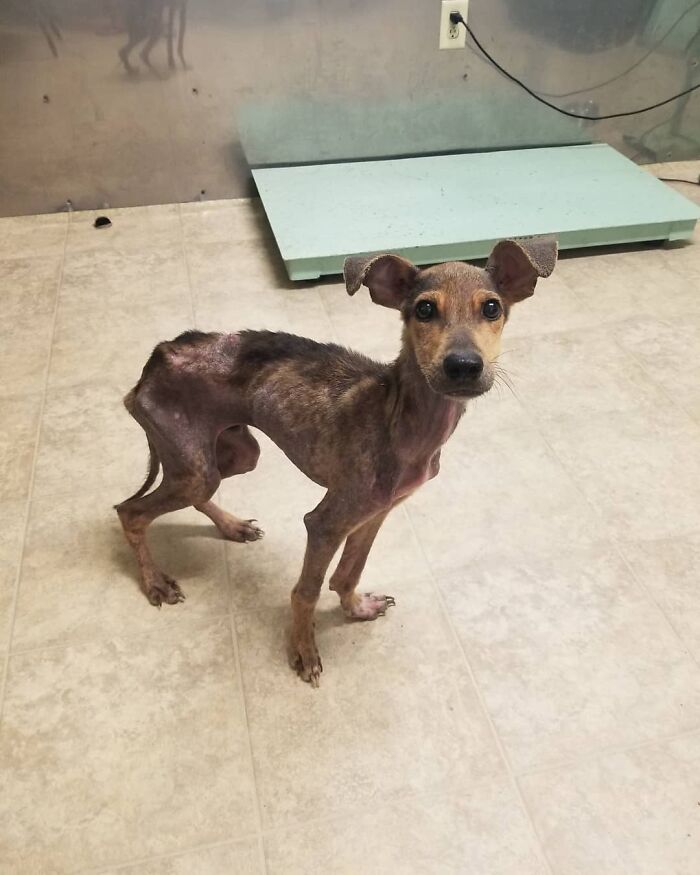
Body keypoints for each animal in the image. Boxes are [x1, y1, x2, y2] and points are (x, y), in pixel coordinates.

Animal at [115, 238, 556, 684]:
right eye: (424, 310)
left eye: (492, 308)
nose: (463, 366)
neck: (397, 414)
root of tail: (159, 354)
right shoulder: (326, 523)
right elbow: (305, 592)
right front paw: (304, 651)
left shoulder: (375, 513)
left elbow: (349, 572)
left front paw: (356, 609)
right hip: (195, 465)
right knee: (129, 512)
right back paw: (154, 582)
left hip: (233, 454)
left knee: (193, 496)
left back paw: (233, 526)